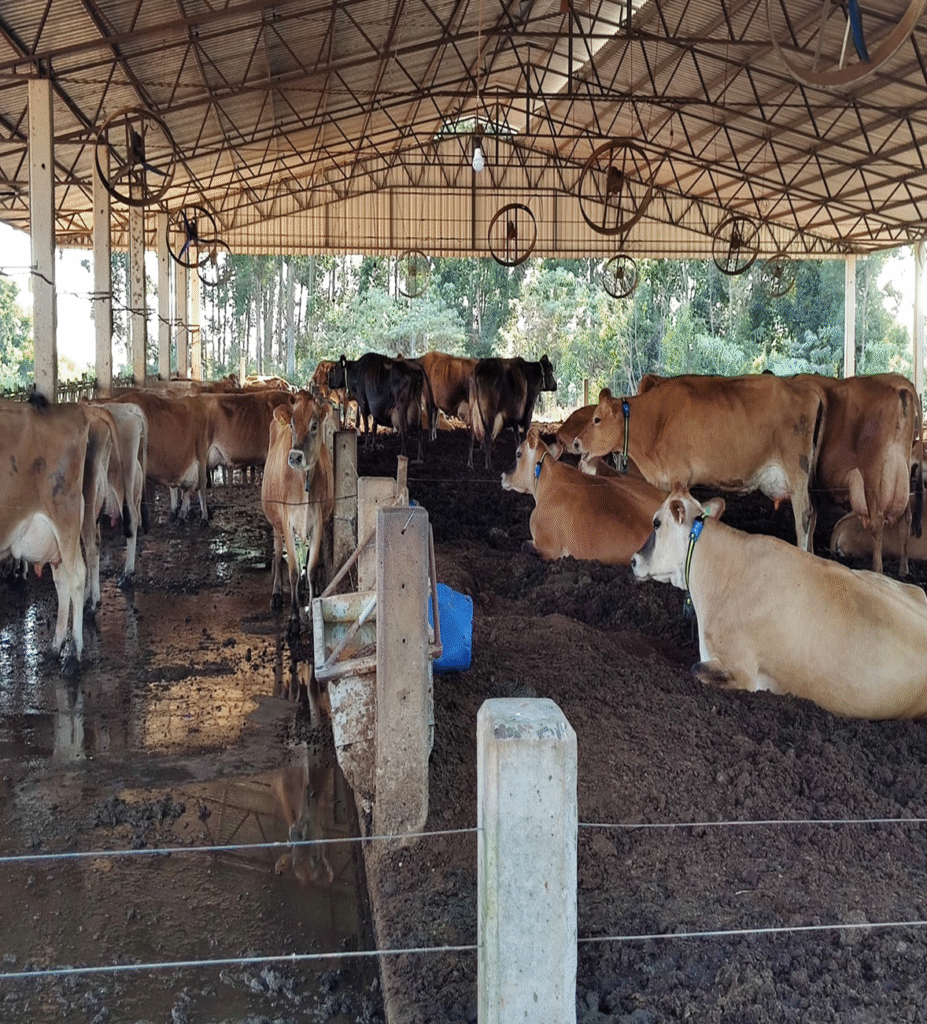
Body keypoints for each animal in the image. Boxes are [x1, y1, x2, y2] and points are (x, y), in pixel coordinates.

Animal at [261, 393, 334, 632]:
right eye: (292, 424)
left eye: (314, 425)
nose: (294, 456)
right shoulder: (287, 521)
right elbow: (292, 569)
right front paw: (293, 617)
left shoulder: (318, 522)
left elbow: (311, 567)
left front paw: (311, 610)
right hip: (275, 522)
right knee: (276, 553)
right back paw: (276, 594)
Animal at [571, 374, 827, 551]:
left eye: (596, 419)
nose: (575, 442)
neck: (654, 421)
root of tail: (806, 387)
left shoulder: (679, 476)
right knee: (814, 513)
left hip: (796, 469)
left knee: (804, 516)